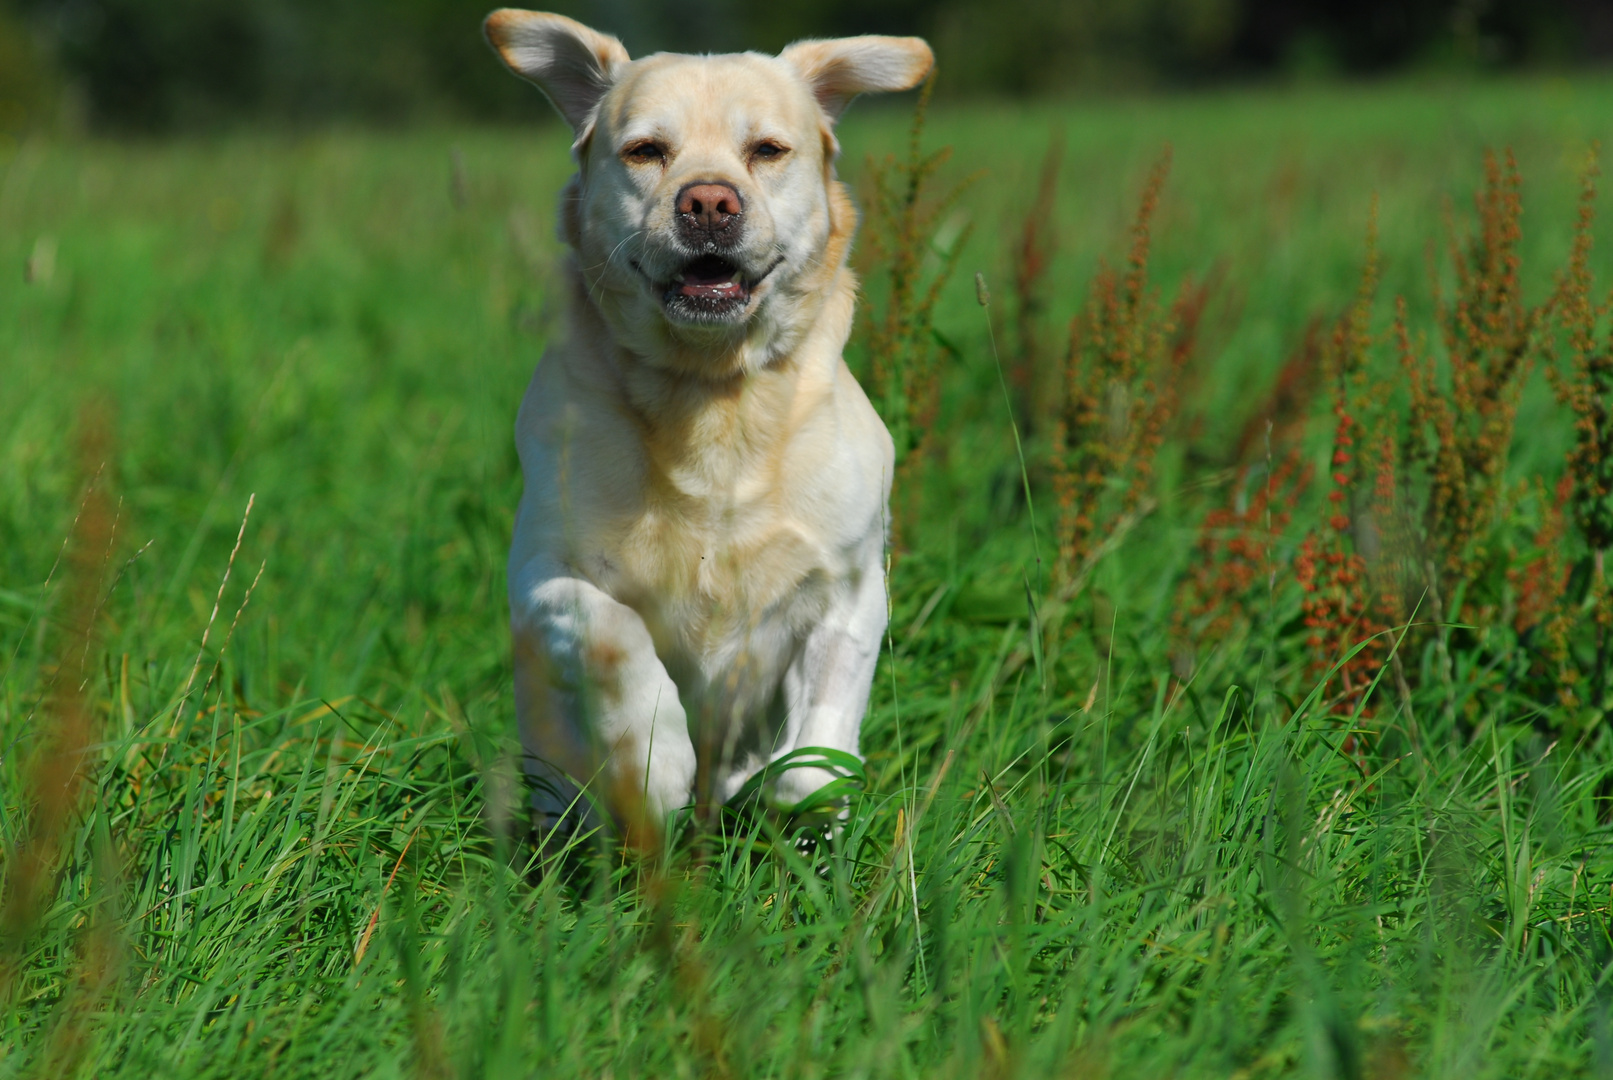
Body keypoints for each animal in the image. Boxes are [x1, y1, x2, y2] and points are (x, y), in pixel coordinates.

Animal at [480, 6, 935, 838]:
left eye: (767, 150)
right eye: (645, 151)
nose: (709, 204)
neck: (711, 393)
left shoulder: (851, 590)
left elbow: (811, 764)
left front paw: (779, 802)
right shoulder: (540, 574)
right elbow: (614, 634)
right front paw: (655, 763)